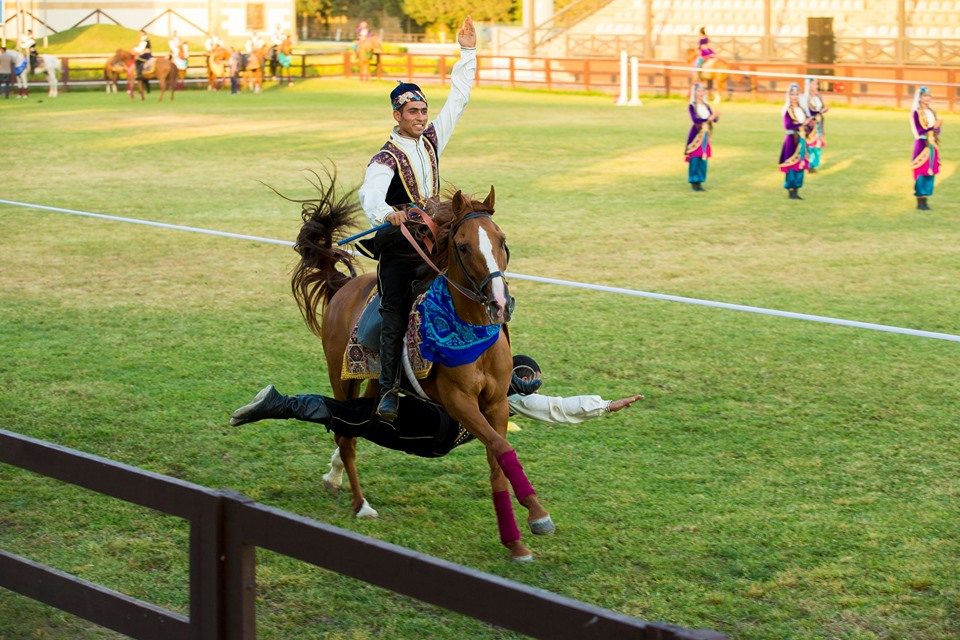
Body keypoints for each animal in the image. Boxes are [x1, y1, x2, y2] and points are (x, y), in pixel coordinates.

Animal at [289, 172, 554, 561]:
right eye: (462, 247)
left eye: (502, 241)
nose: (500, 303)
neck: (469, 332)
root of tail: (343, 286)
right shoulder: (459, 402)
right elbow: (502, 449)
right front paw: (538, 516)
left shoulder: (496, 404)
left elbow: (497, 462)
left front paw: (515, 539)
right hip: (342, 376)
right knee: (345, 436)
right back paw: (360, 504)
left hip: (375, 382)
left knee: (358, 424)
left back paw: (335, 475)